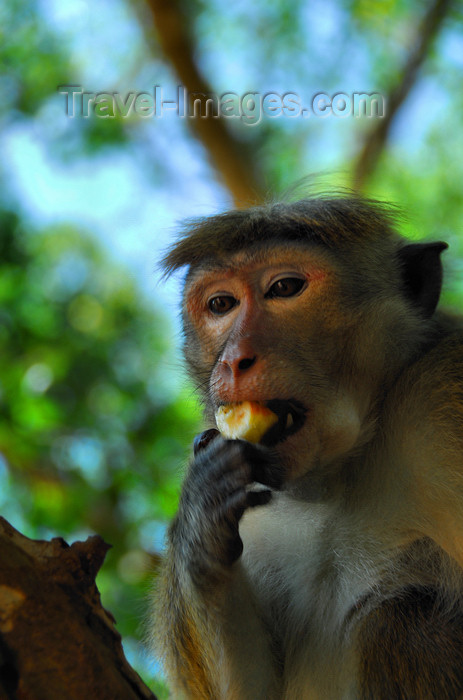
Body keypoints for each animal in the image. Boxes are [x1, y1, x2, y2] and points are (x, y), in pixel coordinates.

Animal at [151, 196, 463, 700]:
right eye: (221, 304)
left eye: (285, 288)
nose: (235, 360)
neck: (338, 475)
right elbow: (251, 690)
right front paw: (202, 518)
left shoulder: (443, 409)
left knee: (397, 618)